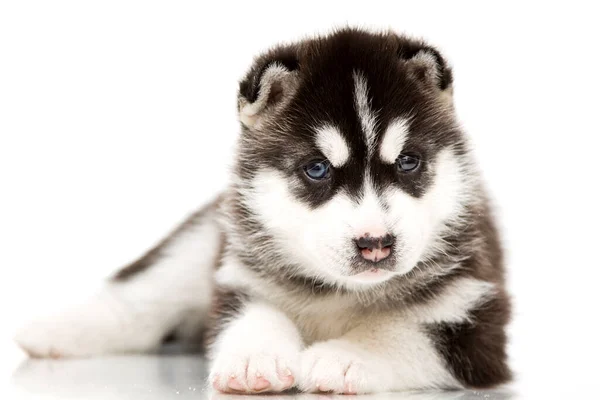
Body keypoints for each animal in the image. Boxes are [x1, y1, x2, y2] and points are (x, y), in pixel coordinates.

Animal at [14, 28, 510, 394]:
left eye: (408, 162)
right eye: (316, 168)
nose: (375, 244)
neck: (340, 293)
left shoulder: (477, 317)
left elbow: (405, 332)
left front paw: (346, 357)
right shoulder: (238, 275)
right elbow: (253, 312)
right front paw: (257, 356)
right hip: (200, 242)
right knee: (142, 300)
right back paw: (53, 330)